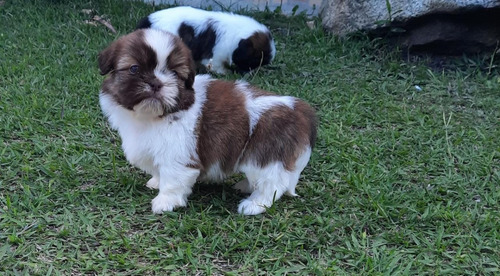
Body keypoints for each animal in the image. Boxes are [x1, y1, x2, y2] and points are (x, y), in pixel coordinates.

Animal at [97, 28, 316, 216]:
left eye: (174, 73)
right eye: (134, 69)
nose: (156, 83)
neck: (150, 117)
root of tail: (300, 110)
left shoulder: (178, 154)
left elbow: (172, 178)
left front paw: (165, 202)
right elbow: (160, 171)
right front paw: (156, 182)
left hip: (264, 154)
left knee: (272, 183)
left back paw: (255, 204)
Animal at [136, 5, 278, 74]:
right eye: (256, 60)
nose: (251, 73)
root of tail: (148, 21)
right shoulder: (216, 56)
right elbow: (216, 66)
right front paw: (225, 72)